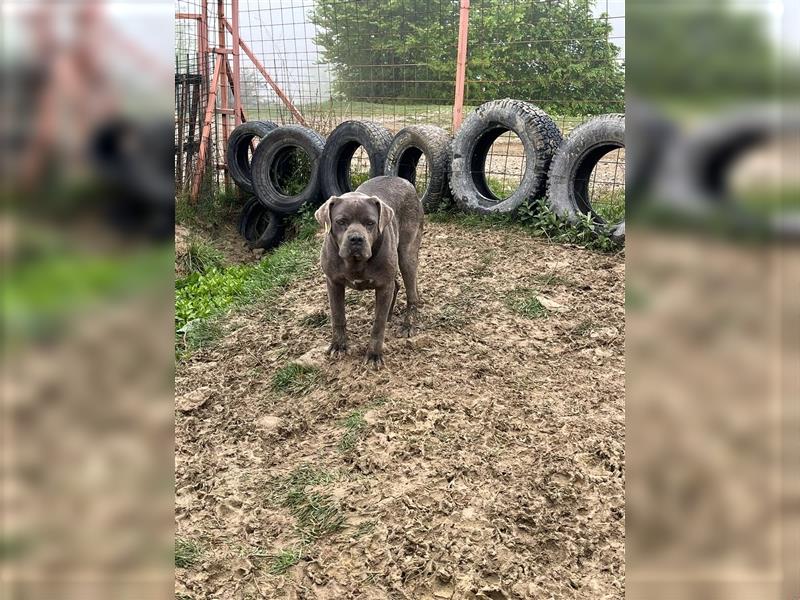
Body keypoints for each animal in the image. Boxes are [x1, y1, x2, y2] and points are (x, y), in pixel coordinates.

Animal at [314, 176, 424, 368]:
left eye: (370, 223)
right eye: (341, 221)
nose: (356, 239)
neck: (355, 263)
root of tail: (406, 182)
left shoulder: (384, 285)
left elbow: (378, 324)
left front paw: (373, 355)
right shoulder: (333, 282)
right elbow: (338, 316)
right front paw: (339, 346)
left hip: (407, 255)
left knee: (412, 294)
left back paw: (408, 325)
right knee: (397, 285)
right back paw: (390, 314)